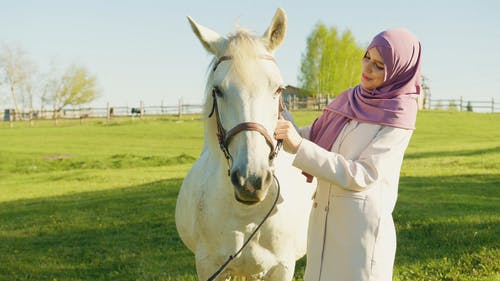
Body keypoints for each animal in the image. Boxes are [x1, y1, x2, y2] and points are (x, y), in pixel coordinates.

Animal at [176, 8, 314, 280]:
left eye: (278, 89)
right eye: (218, 90)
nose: (250, 181)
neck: (247, 215)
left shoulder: (282, 267)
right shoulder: (210, 266)